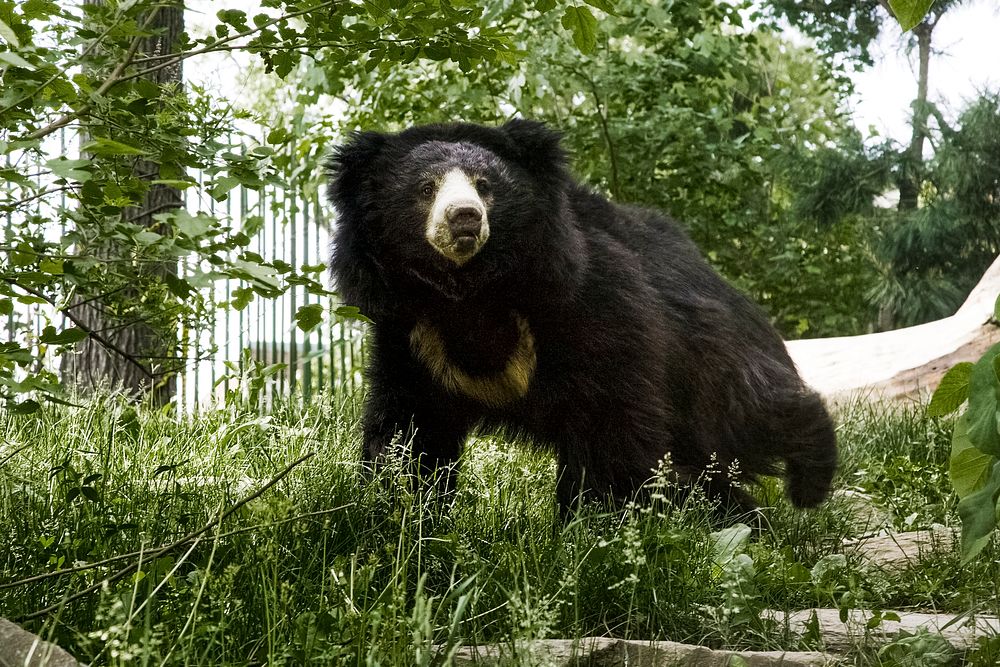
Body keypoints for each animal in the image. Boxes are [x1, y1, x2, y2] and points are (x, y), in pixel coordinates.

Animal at [326, 120, 836, 516]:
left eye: (485, 185)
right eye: (425, 188)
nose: (465, 218)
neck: (472, 293)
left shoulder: (595, 304)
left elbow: (609, 425)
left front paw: (591, 528)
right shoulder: (413, 334)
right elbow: (411, 432)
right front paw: (397, 510)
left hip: (708, 357)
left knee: (746, 415)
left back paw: (808, 482)